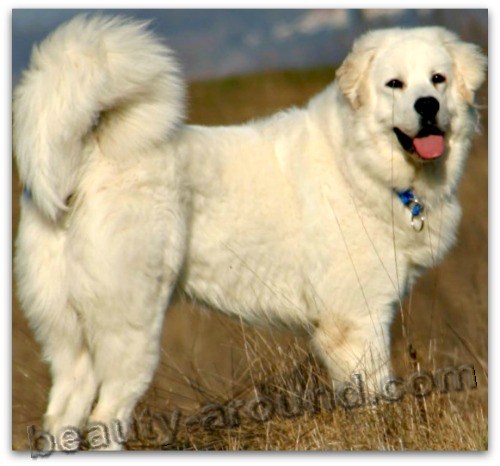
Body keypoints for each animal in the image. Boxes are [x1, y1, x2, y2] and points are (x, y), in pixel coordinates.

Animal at [14, 16, 484, 450]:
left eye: (438, 79)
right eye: (394, 84)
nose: (427, 106)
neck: (357, 163)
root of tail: (91, 155)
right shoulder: (356, 320)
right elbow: (374, 401)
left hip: (72, 340)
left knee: (62, 416)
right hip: (130, 331)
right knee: (105, 418)